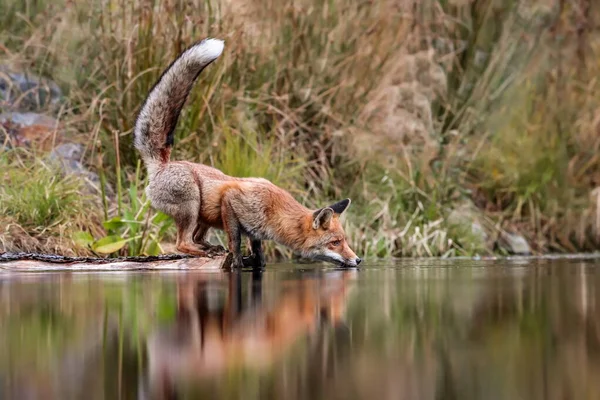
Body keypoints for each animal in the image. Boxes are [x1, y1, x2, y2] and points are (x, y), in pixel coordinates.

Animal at [134, 38, 360, 268]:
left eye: (344, 240)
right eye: (335, 242)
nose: (358, 260)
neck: (274, 211)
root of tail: (162, 163)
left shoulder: (255, 231)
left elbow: (257, 249)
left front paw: (257, 262)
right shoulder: (231, 201)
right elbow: (235, 240)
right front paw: (236, 262)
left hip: (203, 217)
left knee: (196, 238)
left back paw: (210, 247)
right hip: (191, 206)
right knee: (182, 244)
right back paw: (204, 252)